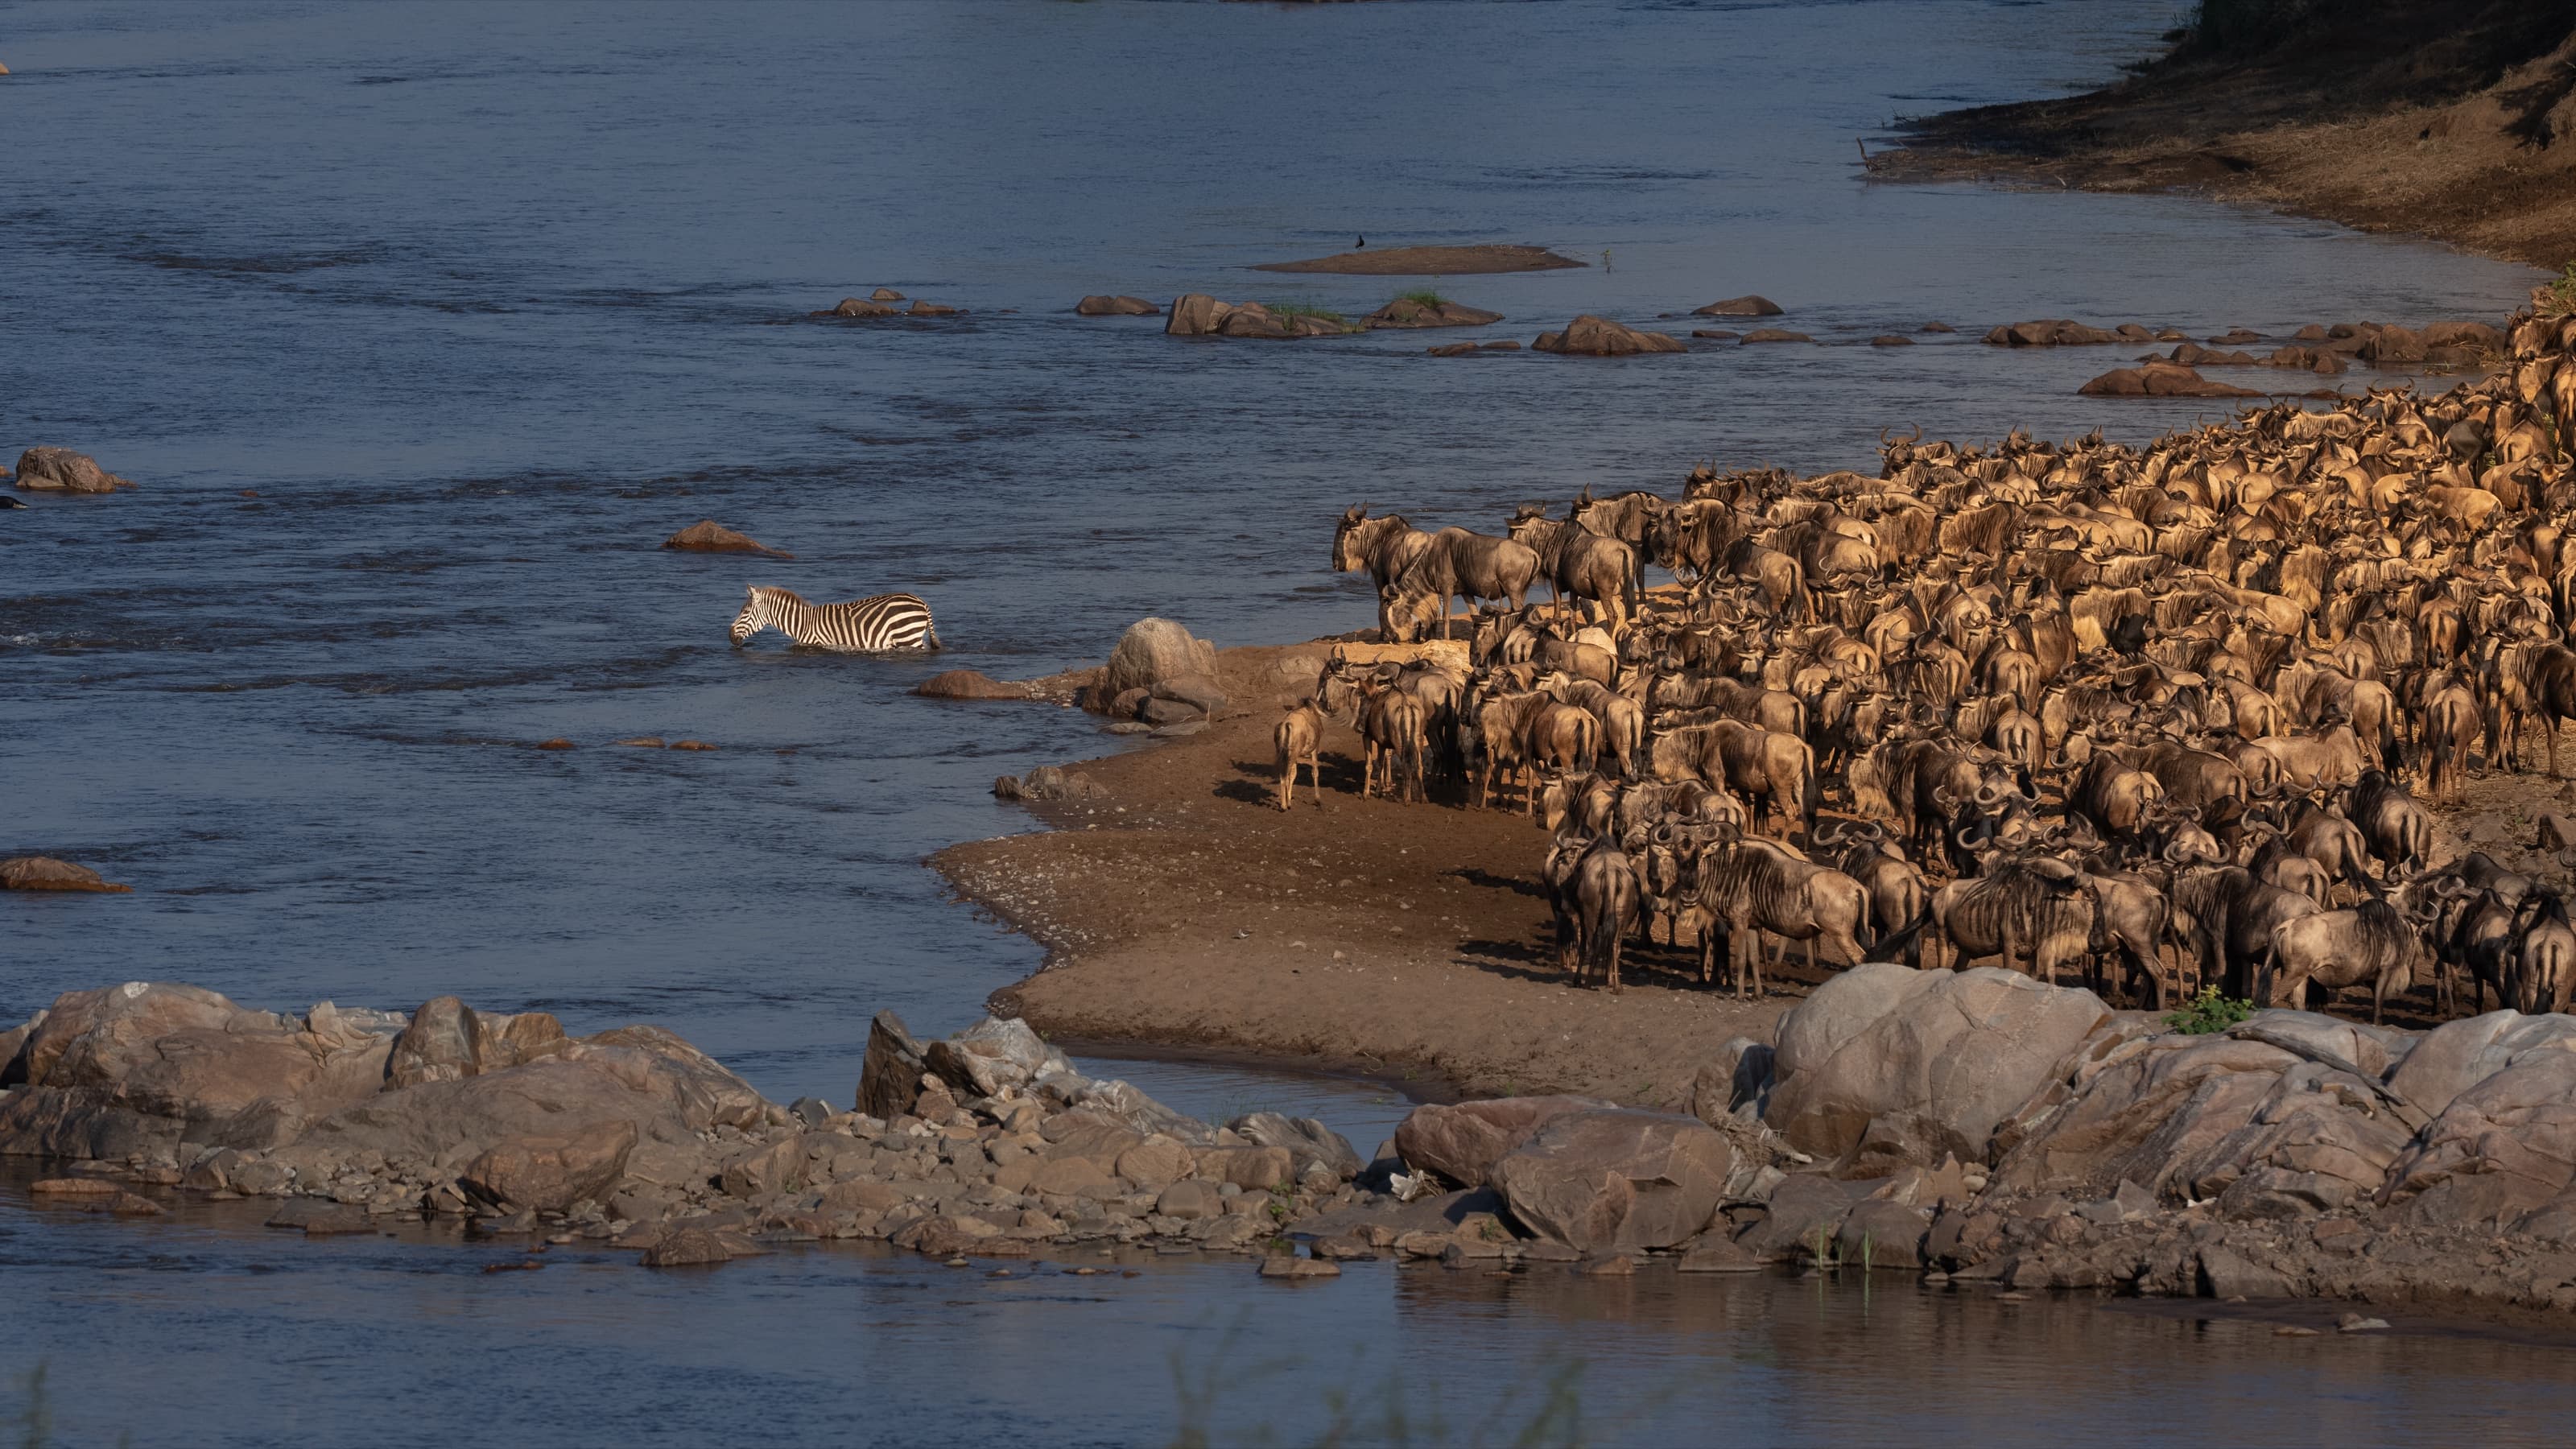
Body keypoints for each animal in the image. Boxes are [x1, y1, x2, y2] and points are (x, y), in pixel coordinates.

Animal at [728, 585, 940, 651]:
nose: (730, 636)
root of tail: (922, 602)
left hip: (908, 637)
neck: (802, 623)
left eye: (744, 612)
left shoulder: (816, 644)